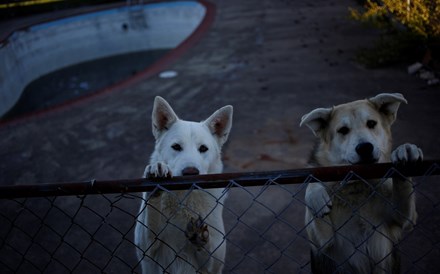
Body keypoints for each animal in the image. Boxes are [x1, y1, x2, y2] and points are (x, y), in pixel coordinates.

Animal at [134, 95, 234, 272]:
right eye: (176, 147)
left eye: (203, 148)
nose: (190, 172)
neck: (184, 198)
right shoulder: (145, 249)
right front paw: (155, 171)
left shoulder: (214, 262)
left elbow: (208, 251)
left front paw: (198, 236)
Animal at [300, 93, 422, 272]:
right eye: (343, 130)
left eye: (371, 123)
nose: (364, 148)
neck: (356, 186)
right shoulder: (322, 242)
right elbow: (313, 186)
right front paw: (315, 195)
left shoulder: (403, 219)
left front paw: (404, 150)